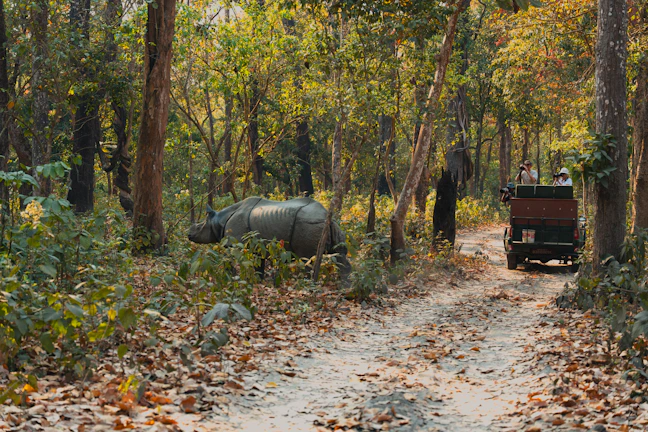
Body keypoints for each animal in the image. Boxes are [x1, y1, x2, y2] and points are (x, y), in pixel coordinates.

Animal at [188, 197, 351, 276]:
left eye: (199, 227)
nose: (189, 234)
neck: (218, 221)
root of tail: (327, 217)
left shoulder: (233, 244)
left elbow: (229, 261)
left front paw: (230, 278)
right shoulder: (256, 246)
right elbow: (258, 266)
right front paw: (259, 281)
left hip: (308, 224)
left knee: (308, 259)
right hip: (329, 226)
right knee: (340, 256)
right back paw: (345, 289)